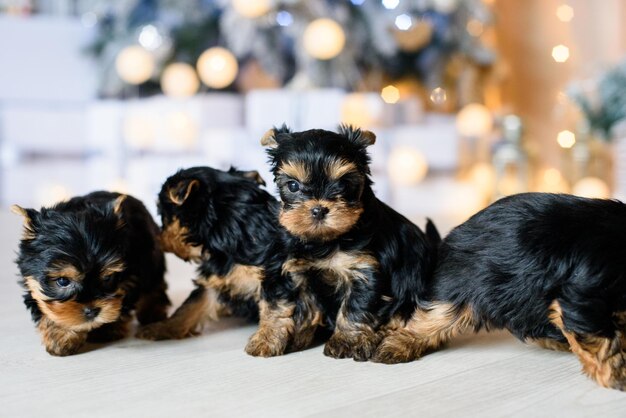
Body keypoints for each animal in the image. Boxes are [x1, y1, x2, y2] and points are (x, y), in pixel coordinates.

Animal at [14, 193, 171, 356]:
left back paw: (152, 311)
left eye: (107, 278)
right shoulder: (32, 282)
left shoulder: (131, 276)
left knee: (154, 283)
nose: (92, 311)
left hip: (152, 255)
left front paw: (106, 329)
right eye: (63, 281)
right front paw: (60, 336)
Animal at [137, 165, 280, 342]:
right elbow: (190, 307)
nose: (158, 237)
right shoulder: (214, 279)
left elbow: (275, 312)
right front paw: (159, 328)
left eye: (162, 216)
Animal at [244, 125, 438, 360]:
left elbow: (355, 307)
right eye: (292, 185)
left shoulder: (363, 270)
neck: (323, 241)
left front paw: (347, 341)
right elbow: (278, 304)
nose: (318, 209)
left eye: (344, 184)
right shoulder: (289, 268)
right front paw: (269, 338)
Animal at [372, 194, 624, 390]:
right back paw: (400, 344)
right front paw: (616, 372)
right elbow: (601, 336)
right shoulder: (586, 296)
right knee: (434, 315)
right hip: (463, 282)